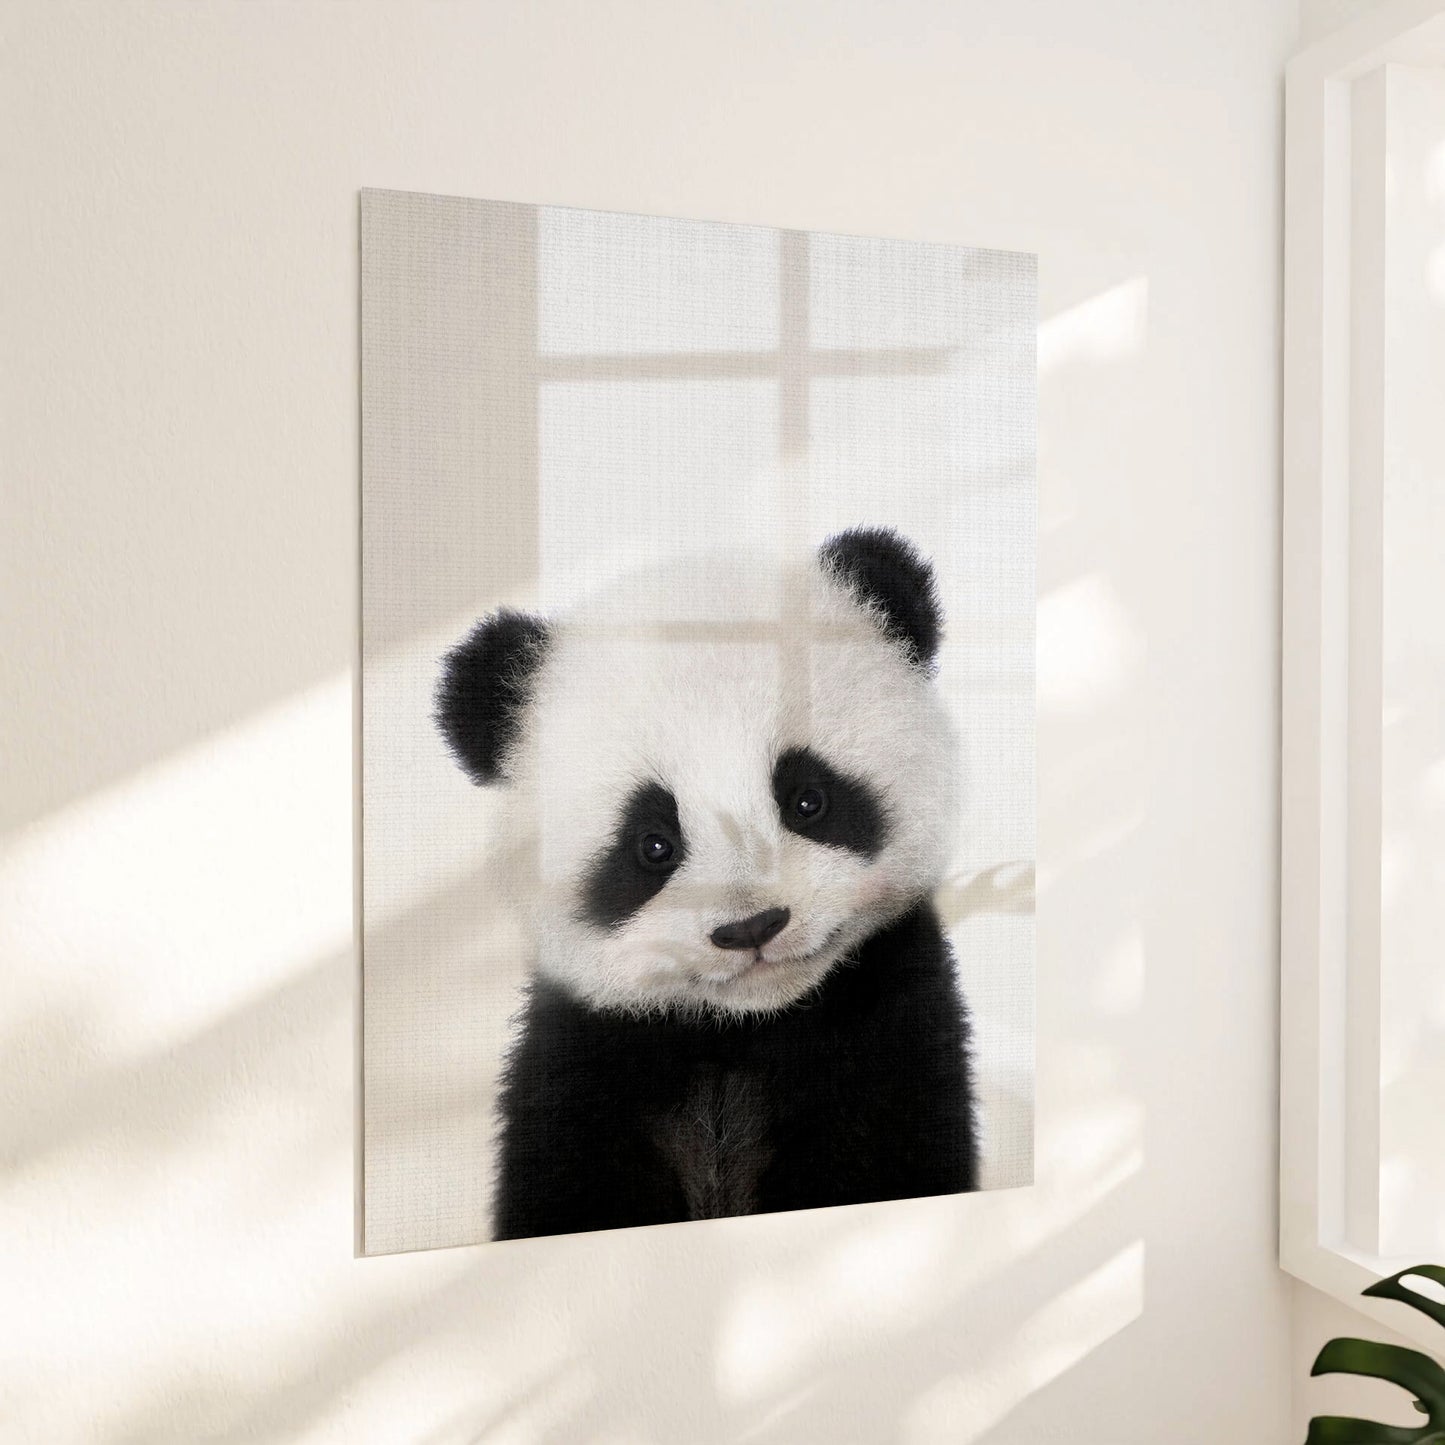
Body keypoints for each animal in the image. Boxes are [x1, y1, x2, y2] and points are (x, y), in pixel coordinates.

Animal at [436, 526, 978, 1240]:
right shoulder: (581, 1068)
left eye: (808, 800)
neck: (740, 1032)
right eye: (653, 844)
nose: (751, 928)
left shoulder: (891, 1031)